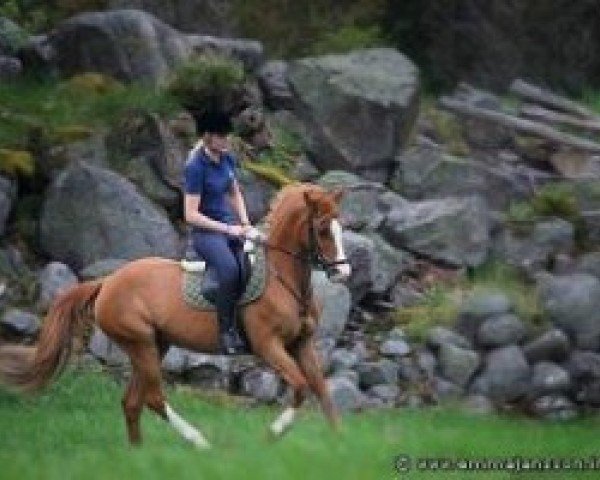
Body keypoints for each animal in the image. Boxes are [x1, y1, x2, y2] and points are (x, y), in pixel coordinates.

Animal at [0, 183, 352, 446]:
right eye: (322, 229)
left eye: (340, 227)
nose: (343, 273)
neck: (283, 279)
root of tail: (107, 282)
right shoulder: (269, 345)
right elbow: (300, 386)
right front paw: (273, 433)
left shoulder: (301, 344)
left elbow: (322, 390)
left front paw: (339, 441)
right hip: (140, 343)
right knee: (154, 399)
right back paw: (199, 442)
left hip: (154, 345)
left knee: (132, 402)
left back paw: (137, 454)